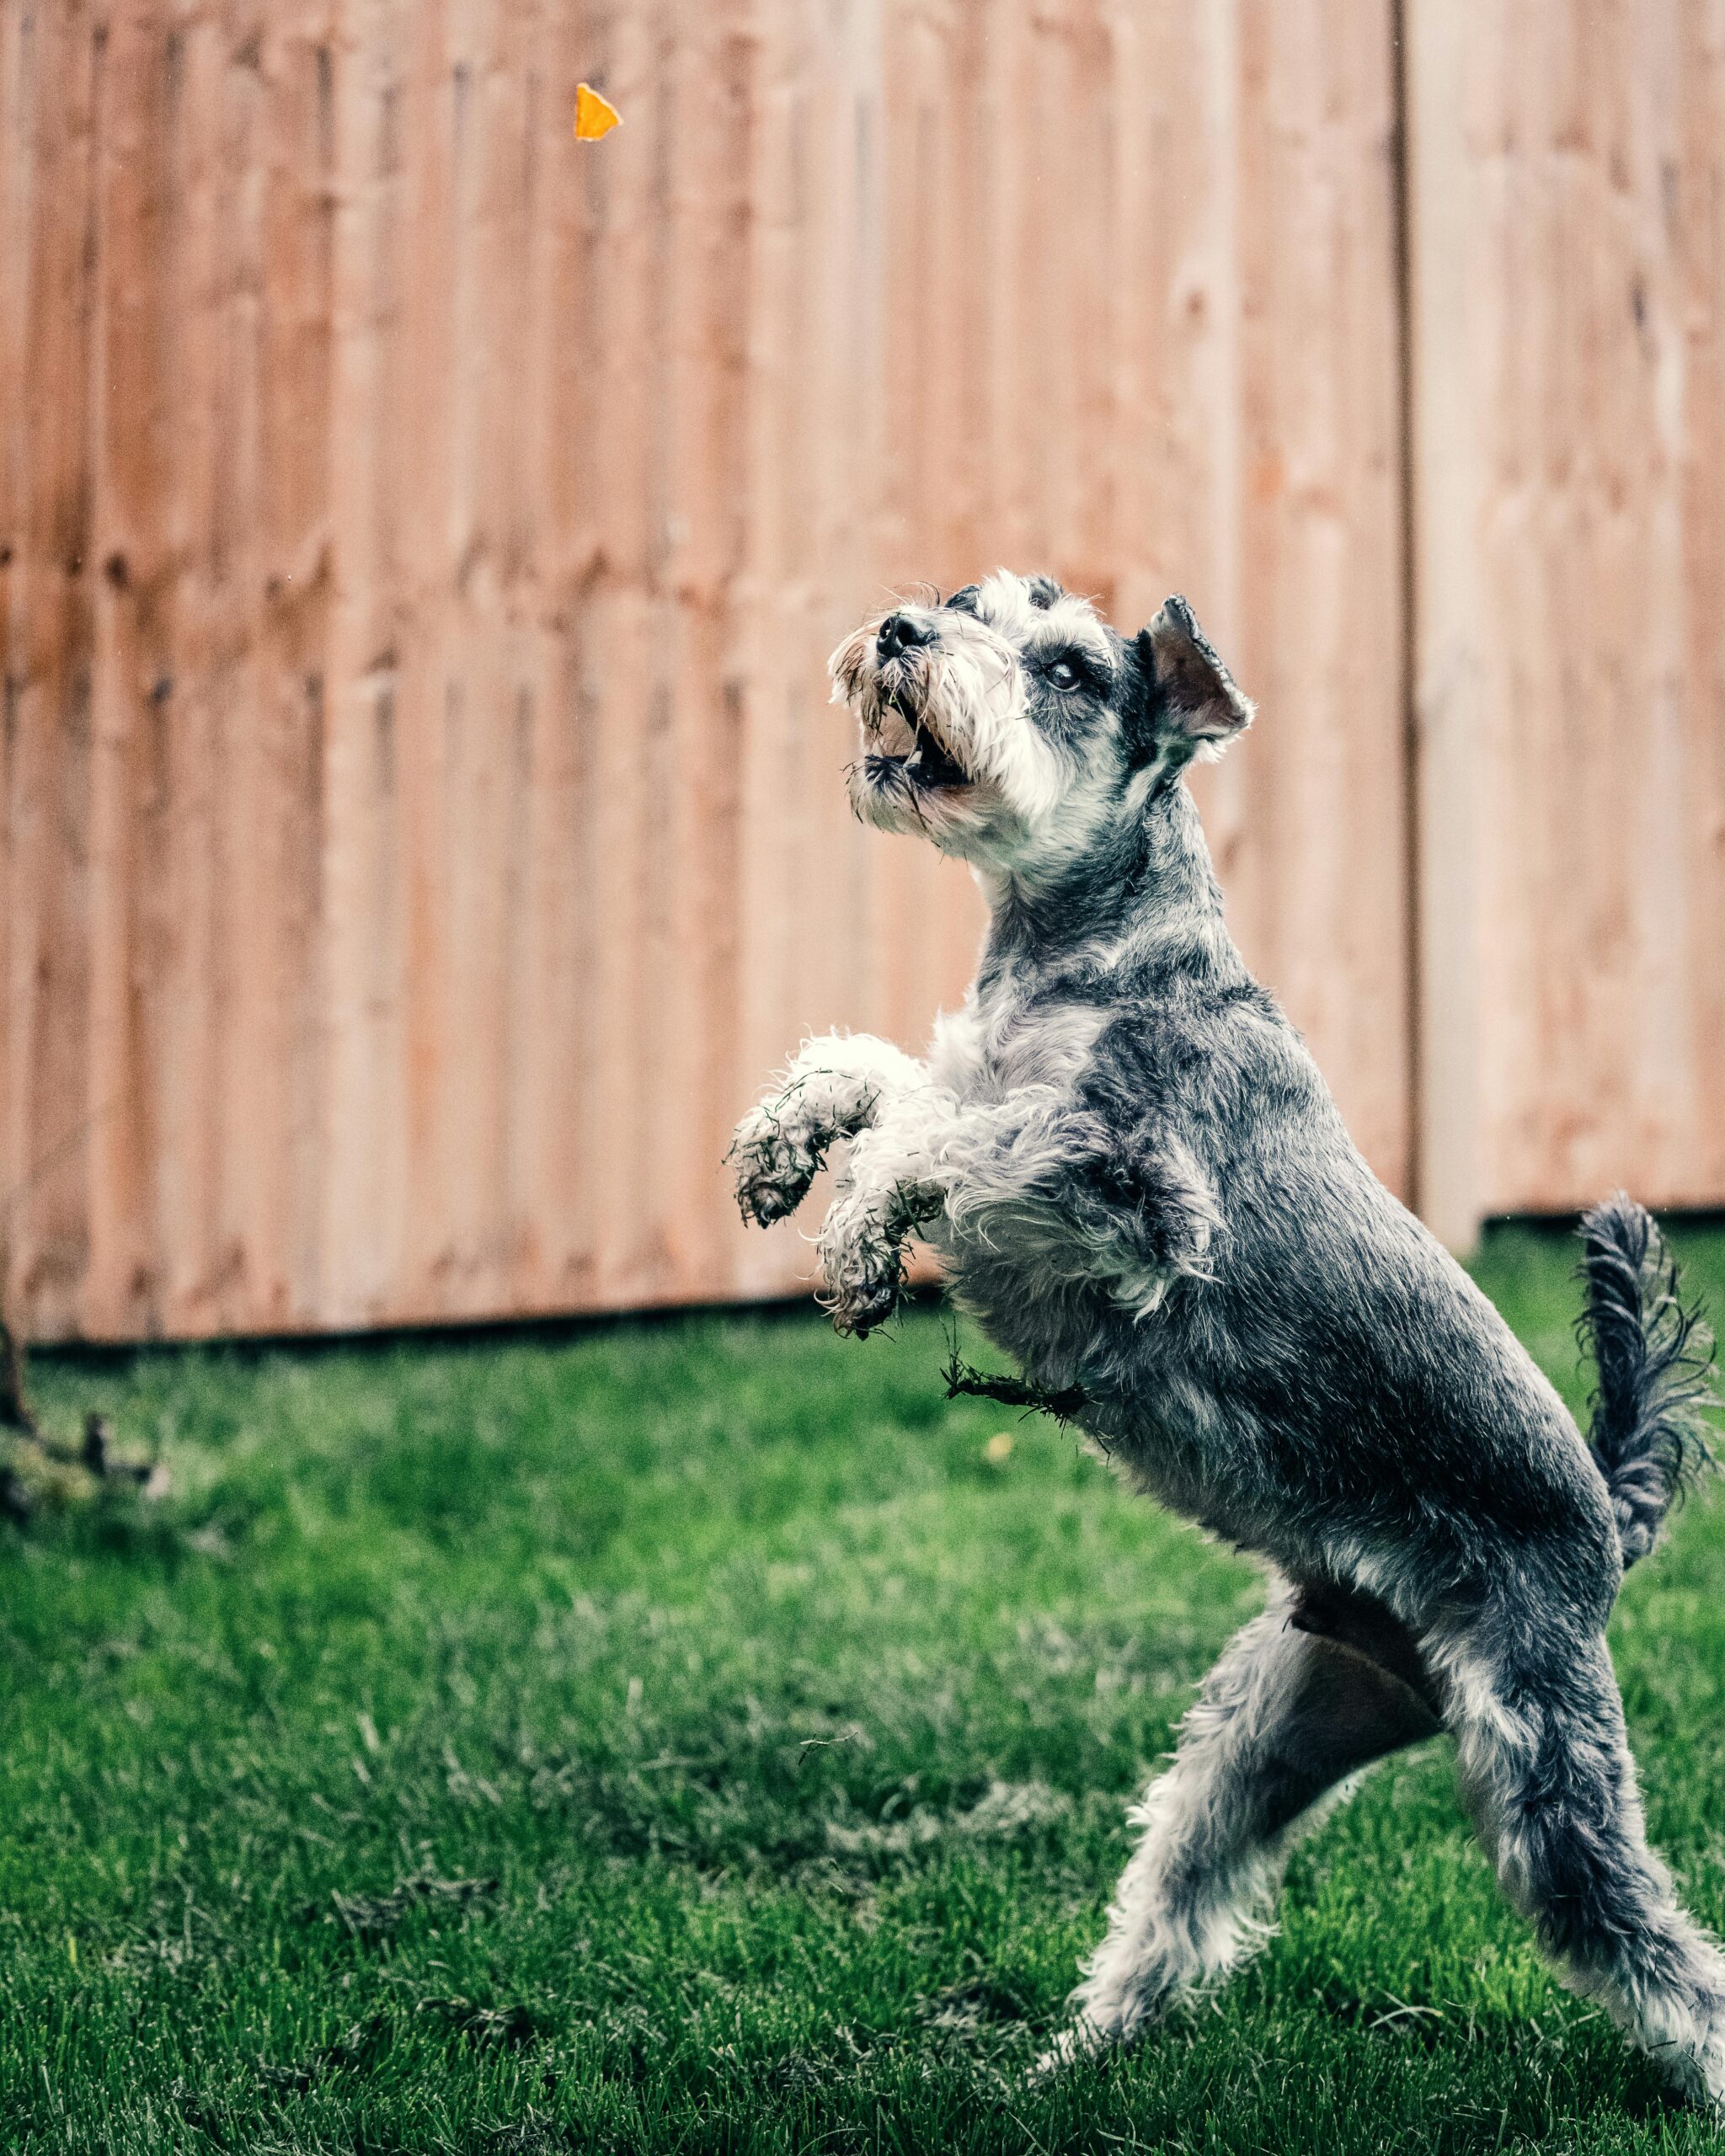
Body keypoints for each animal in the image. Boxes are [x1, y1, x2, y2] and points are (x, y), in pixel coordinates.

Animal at [733, 573, 1725, 2104]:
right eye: (969, 601)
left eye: (1067, 667)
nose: (902, 630)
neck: (1089, 952)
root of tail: (1604, 1522)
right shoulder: (1000, 1086)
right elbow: (896, 1074)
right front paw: (787, 1141)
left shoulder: (1137, 1187)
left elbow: (956, 1134)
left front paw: (853, 1233)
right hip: (1271, 1729)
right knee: (1180, 1902)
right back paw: (1068, 2060)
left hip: (1548, 1778)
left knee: (1661, 1956)